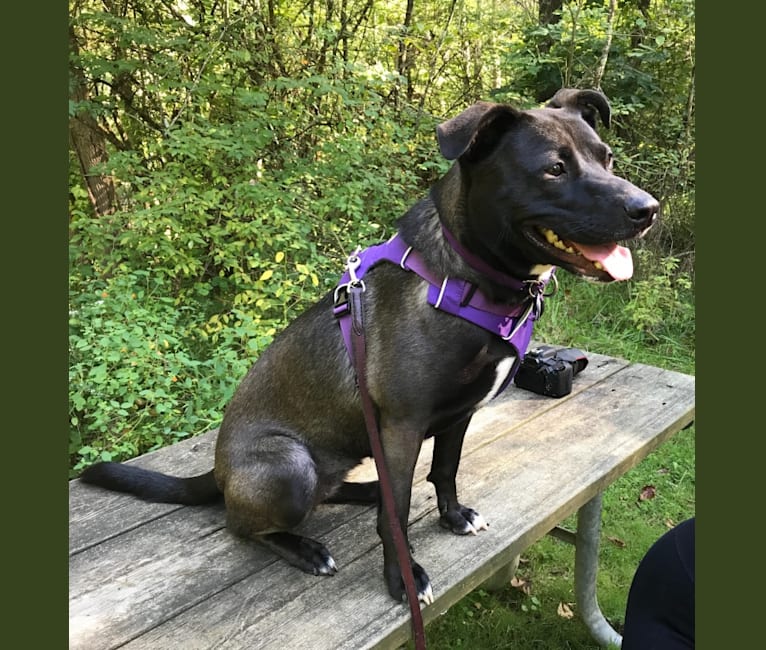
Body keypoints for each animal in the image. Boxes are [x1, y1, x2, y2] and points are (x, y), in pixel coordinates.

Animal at [82, 86, 660, 604]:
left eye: (606, 158)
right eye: (554, 168)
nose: (647, 209)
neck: (467, 278)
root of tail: (219, 473)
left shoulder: (458, 415)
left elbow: (444, 471)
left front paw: (453, 516)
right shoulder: (402, 426)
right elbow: (397, 515)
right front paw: (403, 577)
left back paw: (362, 492)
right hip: (289, 465)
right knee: (243, 525)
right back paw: (305, 547)